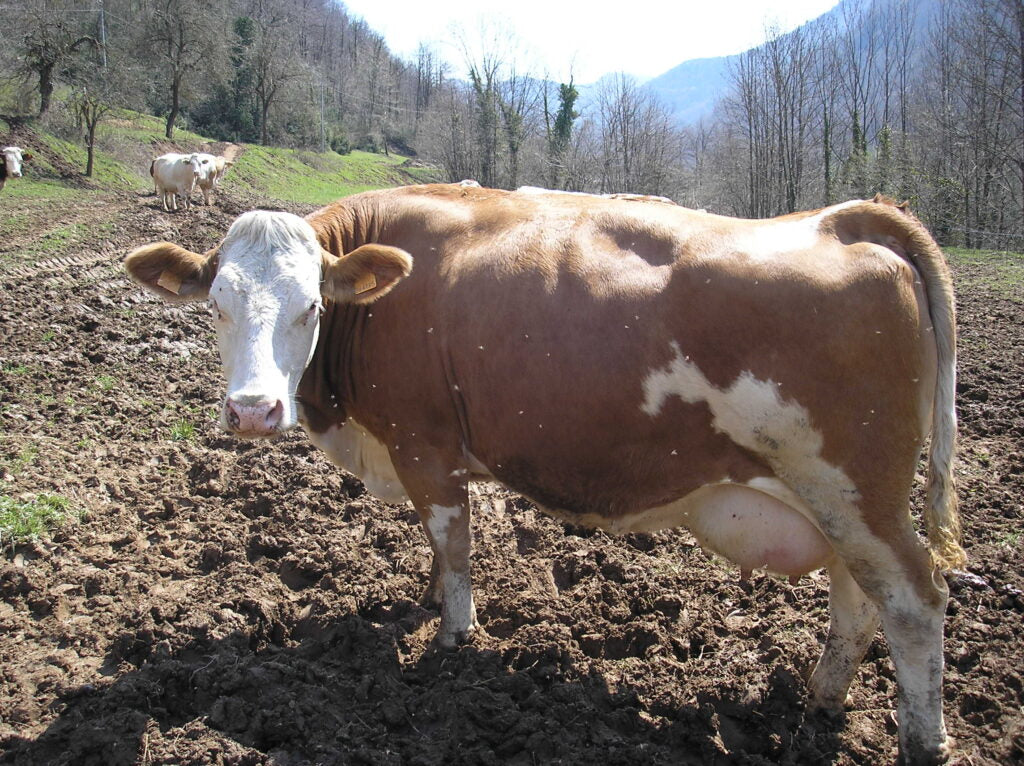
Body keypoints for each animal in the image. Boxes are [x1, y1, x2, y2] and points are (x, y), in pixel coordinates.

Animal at [124, 184, 964, 765]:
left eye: (308, 307)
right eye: (219, 304)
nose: (253, 410)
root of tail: (844, 217)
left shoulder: (424, 445)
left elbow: (453, 543)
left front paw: (452, 638)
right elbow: (436, 548)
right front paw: (424, 601)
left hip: (853, 490)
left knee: (914, 603)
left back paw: (921, 742)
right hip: (844, 503)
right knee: (858, 603)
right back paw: (822, 703)